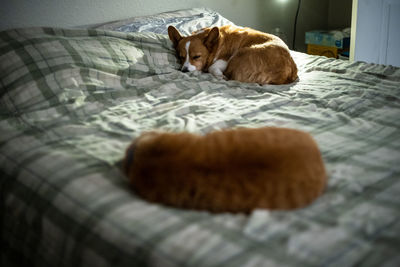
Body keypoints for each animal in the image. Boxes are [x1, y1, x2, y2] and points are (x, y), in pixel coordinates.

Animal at [168, 24, 296, 85]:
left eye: (196, 57)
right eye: (181, 57)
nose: (184, 71)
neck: (216, 45)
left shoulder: (226, 59)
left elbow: (212, 67)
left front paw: (218, 75)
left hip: (240, 53)